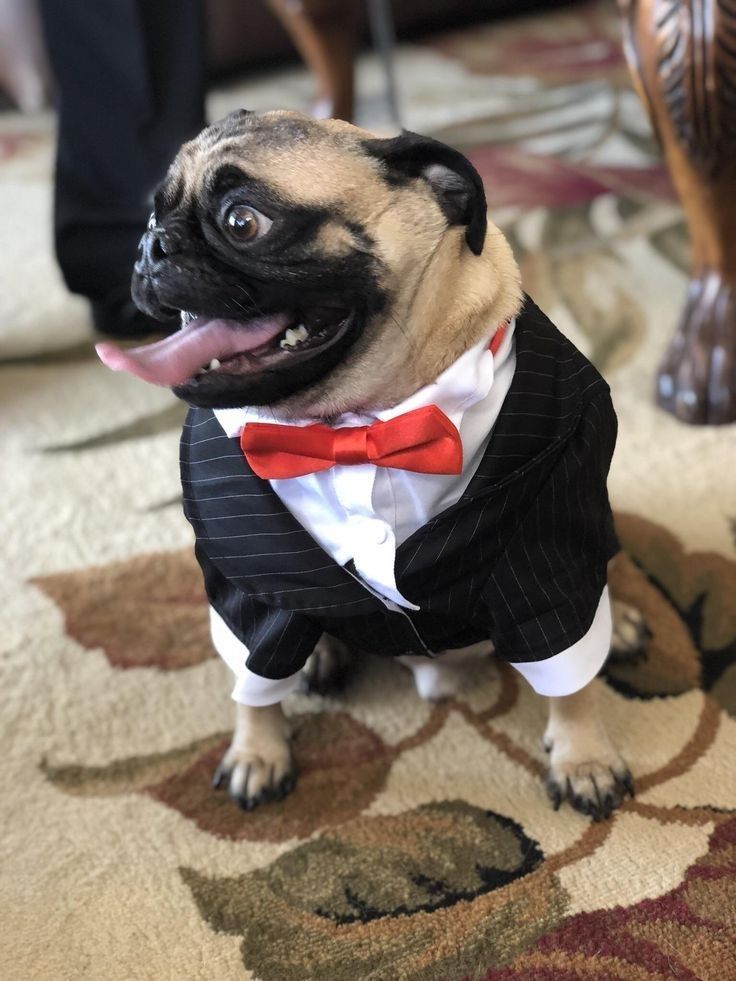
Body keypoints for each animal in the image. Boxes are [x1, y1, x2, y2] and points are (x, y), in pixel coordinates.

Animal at [98, 111, 644, 824]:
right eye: (152, 214)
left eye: (243, 222)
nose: (152, 245)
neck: (357, 427)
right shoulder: (247, 574)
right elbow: (251, 673)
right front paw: (257, 749)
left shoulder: (549, 544)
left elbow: (568, 669)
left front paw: (584, 756)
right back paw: (318, 657)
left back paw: (625, 617)